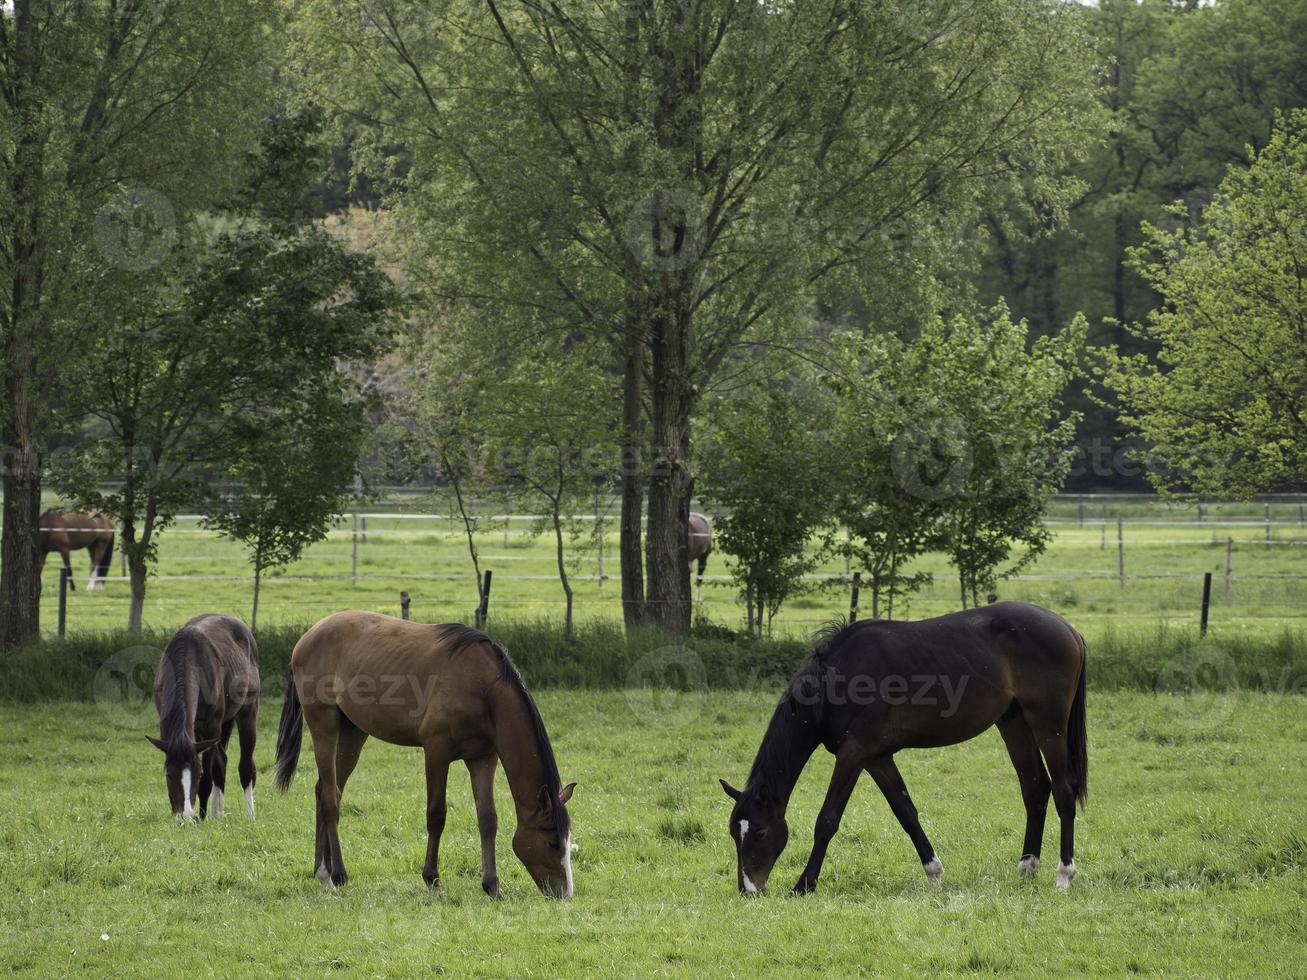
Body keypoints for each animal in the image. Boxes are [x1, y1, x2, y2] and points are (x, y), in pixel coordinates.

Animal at [148, 616, 260, 825]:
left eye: (197, 774)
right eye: (168, 774)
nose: (185, 817)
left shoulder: (211, 728)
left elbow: (209, 775)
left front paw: (200, 817)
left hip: (247, 711)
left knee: (245, 766)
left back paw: (249, 815)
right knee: (221, 763)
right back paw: (218, 813)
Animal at [275, 616, 577, 904]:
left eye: (568, 840)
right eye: (552, 842)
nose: (564, 894)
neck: (481, 685)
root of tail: (306, 638)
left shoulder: (483, 758)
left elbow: (488, 819)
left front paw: (491, 885)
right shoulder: (436, 752)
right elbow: (436, 814)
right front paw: (432, 878)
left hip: (353, 733)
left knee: (325, 791)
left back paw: (321, 869)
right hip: (324, 727)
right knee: (330, 798)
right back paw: (334, 874)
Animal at [721, 603, 1087, 893]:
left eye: (760, 832)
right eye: (734, 833)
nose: (748, 891)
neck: (835, 681)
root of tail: (1067, 629)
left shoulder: (852, 755)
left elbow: (827, 820)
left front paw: (804, 885)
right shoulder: (877, 758)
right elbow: (906, 813)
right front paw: (934, 874)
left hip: (1048, 725)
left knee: (1063, 792)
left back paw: (1064, 875)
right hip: (1014, 724)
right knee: (1035, 790)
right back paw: (1027, 868)